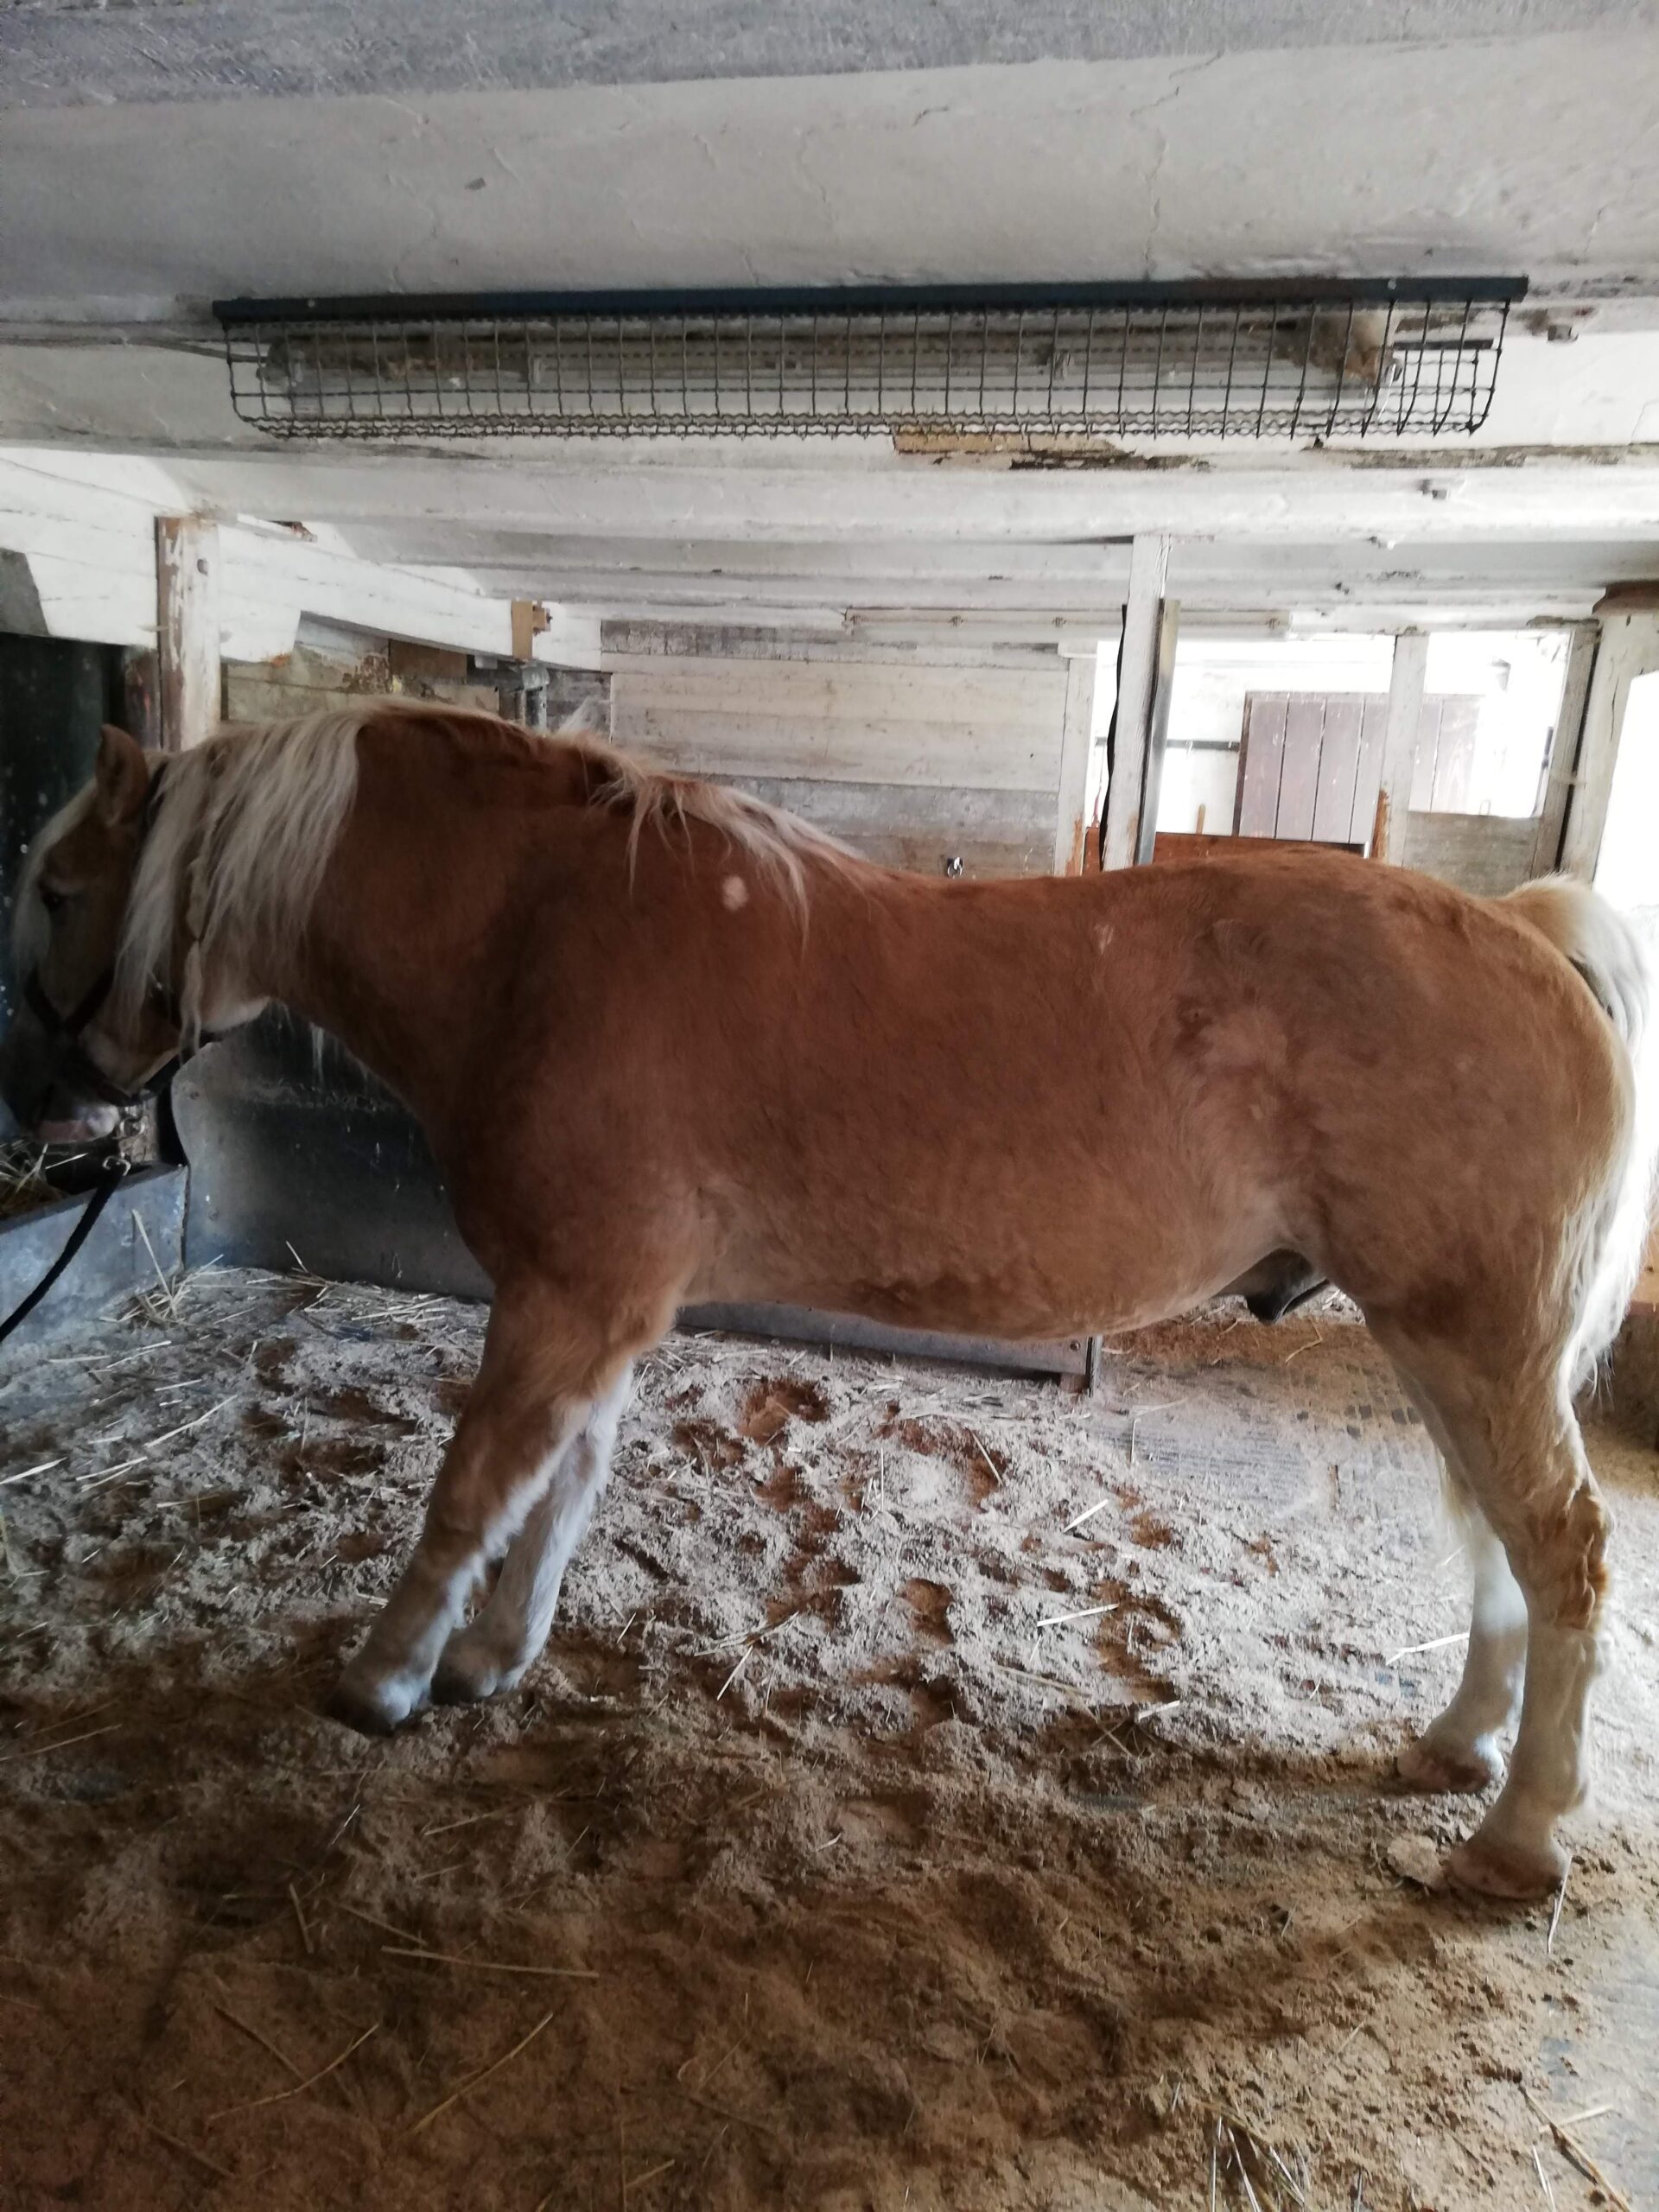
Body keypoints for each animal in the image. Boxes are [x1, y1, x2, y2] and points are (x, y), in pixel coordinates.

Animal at [3, 702, 1652, 1902]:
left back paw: (1518, 1837)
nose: (56, 1100)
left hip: (1478, 1346)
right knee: (1503, 1552)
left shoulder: (562, 1302)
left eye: (60, 888)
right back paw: (1457, 1749)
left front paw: (386, 1678)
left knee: (1563, 1553)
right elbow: (561, 1486)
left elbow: (473, 1490)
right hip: (1444, 1353)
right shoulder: (598, 1307)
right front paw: (487, 1662)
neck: (546, 936)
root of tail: (1525, 930)